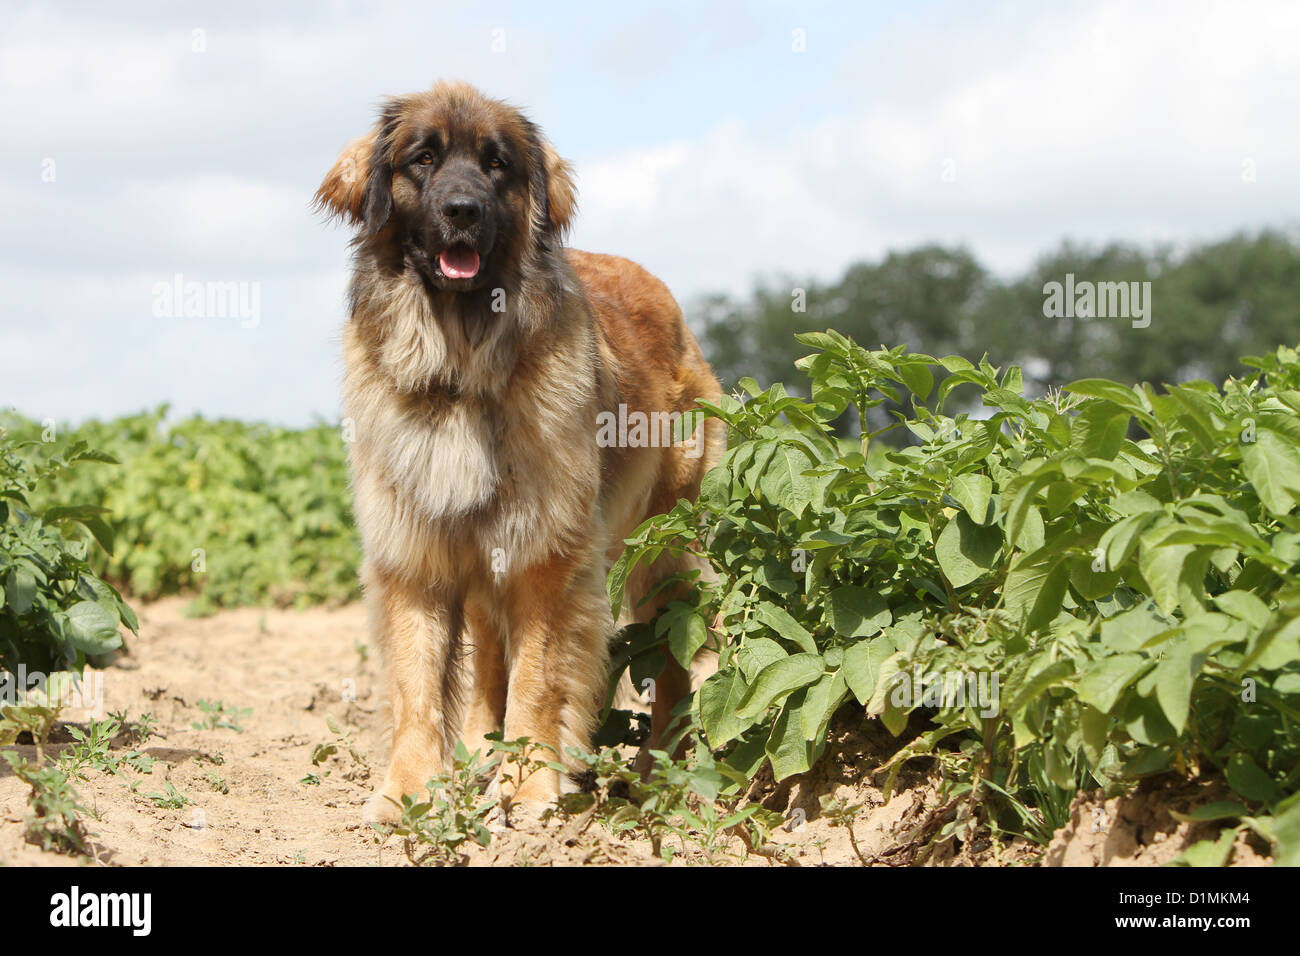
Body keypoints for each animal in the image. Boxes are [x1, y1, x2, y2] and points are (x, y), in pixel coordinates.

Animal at [313, 82, 722, 827]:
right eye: (423, 159)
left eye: (496, 164)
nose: (462, 211)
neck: (456, 367)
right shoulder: (415, 554)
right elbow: (419, 685)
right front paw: (407, 792)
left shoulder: (545, 554)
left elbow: (538, 679)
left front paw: (531, 790)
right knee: (487, 666)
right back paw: (480, 752)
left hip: (660, 547)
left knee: (671, 659)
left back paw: (662, 777)